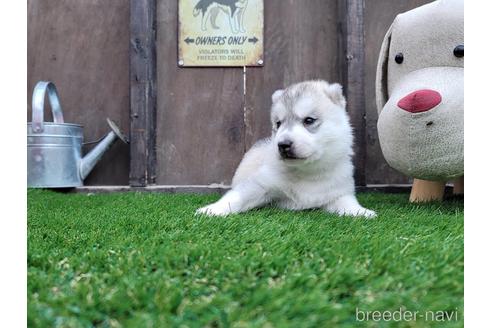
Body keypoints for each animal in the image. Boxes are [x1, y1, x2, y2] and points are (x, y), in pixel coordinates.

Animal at [198, 80, 374, 218]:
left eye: (309, 120)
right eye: (278, 123)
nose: (282, 145)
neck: (306, 172)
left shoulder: (338, 192)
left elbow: (348, 202)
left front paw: (362, 212)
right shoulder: (260, 184)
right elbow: (236, 197)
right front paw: (212, 209)